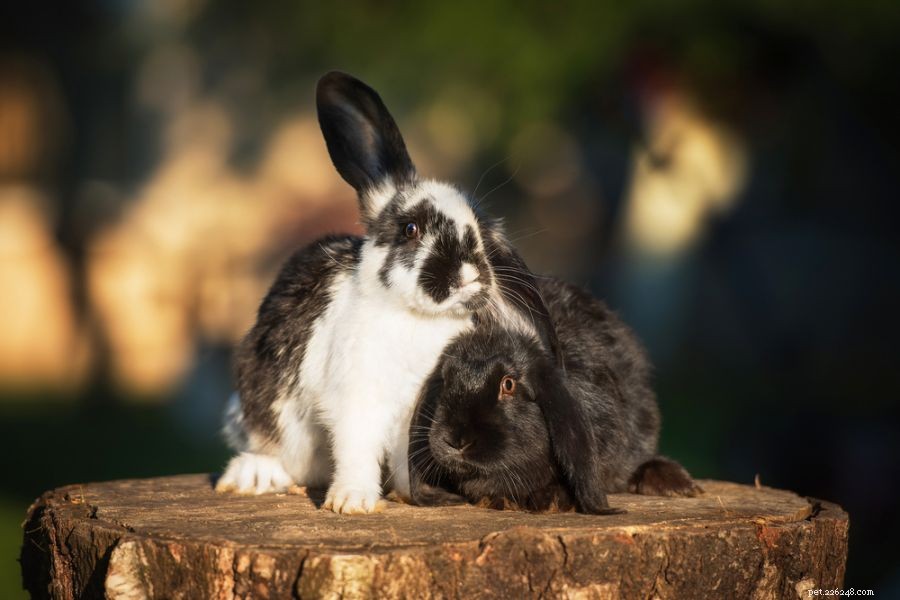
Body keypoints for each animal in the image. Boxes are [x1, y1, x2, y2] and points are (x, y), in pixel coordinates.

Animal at [215, 71, 559, 514]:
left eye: (481, 231)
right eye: (411, 229)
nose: (469, 275)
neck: (415, 319)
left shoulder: (420, 412)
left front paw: (411, 495)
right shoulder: (357, 399)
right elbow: (357, 449)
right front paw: (351, 502)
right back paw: (253, 475)